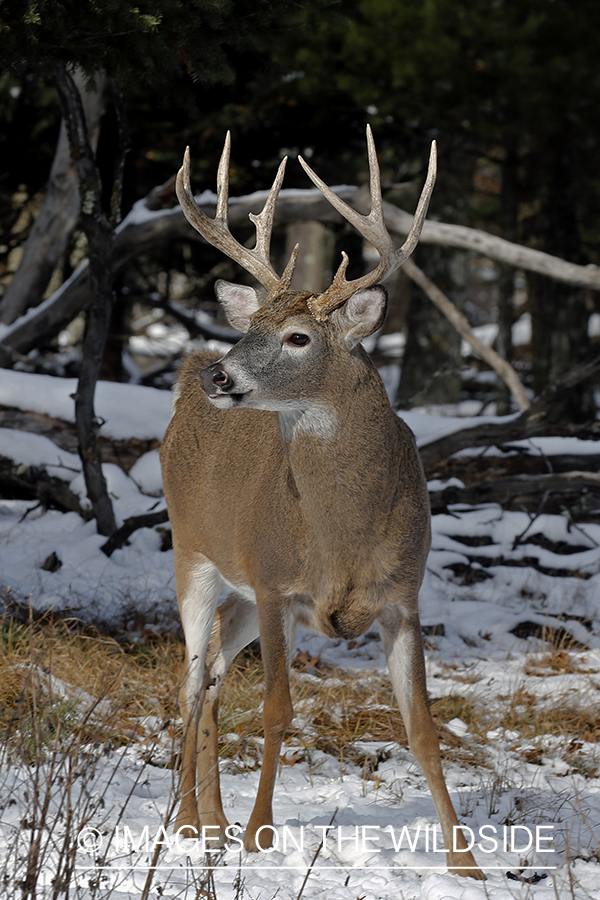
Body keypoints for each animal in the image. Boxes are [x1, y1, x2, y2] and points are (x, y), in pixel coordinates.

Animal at [161, 128, 488, 880]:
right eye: (252, 326)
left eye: (298, 337)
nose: (221, 375)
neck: (343, 534)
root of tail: (182, 378)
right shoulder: (277, 585)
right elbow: (277, 710)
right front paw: (260, 837)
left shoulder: (403, 597)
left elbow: (423, 730)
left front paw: (467, 864)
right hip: (193, 554)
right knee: (190, 682)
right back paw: (190, 824)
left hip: (239, 593)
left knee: (213, 676)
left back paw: (213, 826)